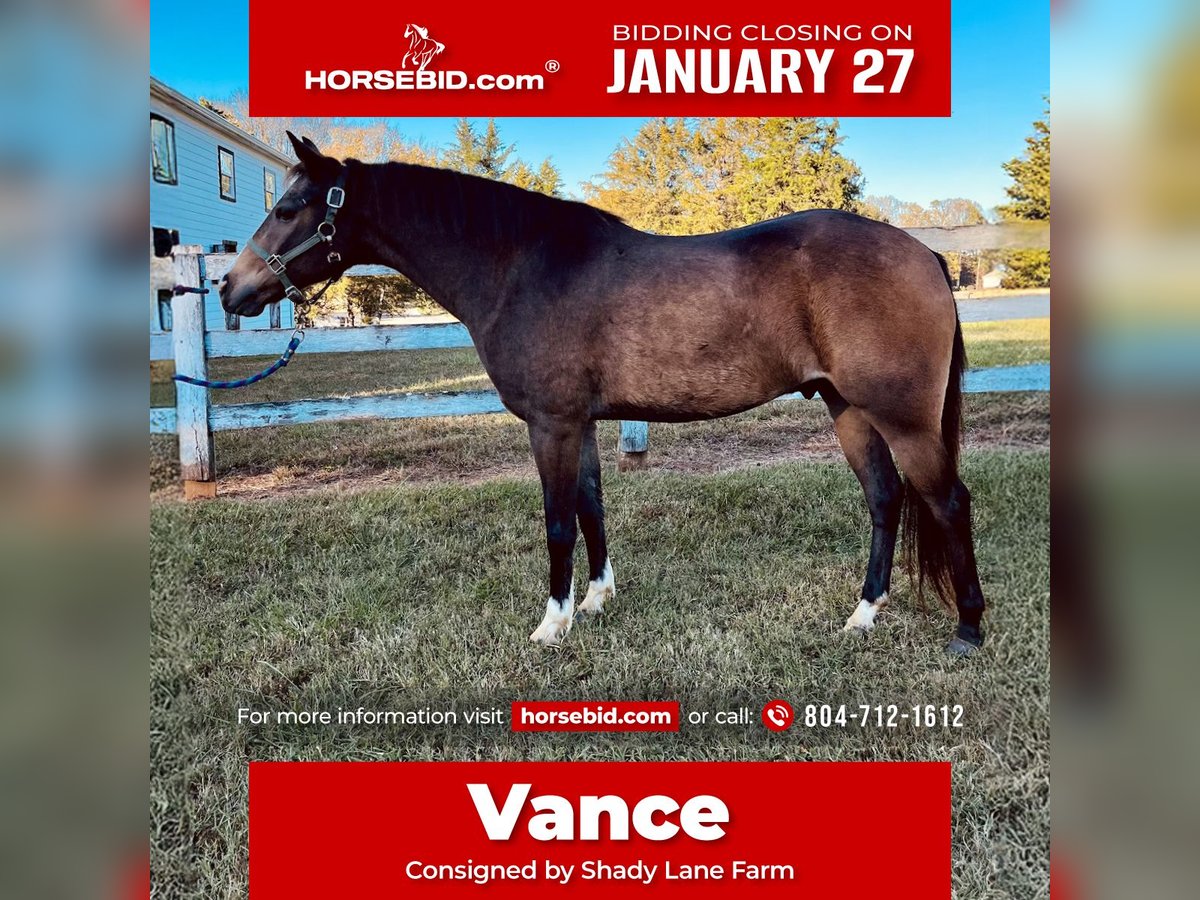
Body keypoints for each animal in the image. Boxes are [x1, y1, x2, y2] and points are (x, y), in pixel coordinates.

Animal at [220, 132, 988, 657]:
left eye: (289, 206)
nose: (231, 289)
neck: (520, 266)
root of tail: (924, 253)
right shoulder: (580, 423)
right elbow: (591, 507)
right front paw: (594, 600)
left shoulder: (552, 424)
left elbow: (559, 521)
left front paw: (551, 623)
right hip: (846, 408)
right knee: (885, 499)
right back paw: (863, 614)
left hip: (902, 417)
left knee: (948, 501)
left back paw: (969, 629)